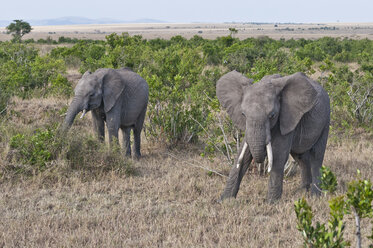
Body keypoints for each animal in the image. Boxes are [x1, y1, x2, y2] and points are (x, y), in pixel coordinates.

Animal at [217, 70, 330, 202]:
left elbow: (278, 156)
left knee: (316, 156)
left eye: (272, 115)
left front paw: (271, 203)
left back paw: (315, 196)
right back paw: (303, 191)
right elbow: (243, 155)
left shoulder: (287, 117)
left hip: (326, 119)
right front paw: (224, 200)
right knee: (301, 156)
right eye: (243, 114)